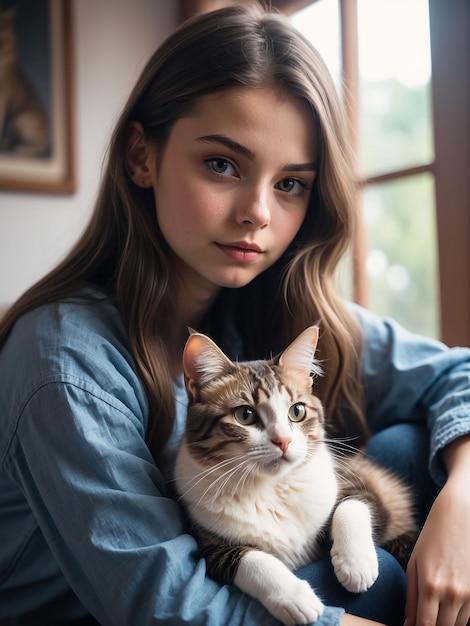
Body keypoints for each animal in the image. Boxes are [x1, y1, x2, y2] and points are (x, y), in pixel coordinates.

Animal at [0, 7, 50, 157]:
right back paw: (8, 143)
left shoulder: (3, 95)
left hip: (20, 118)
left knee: (40, 148)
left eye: (4, 25)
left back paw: (21, 149)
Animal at [174, 324, 416, 620]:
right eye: (245, 415)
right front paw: (295, 597)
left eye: (297, 411)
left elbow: (353, 505)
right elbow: (250, 559)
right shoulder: (209, 545)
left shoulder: (360, 485)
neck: (271, 486)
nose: (283, 441)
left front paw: (355, 564)